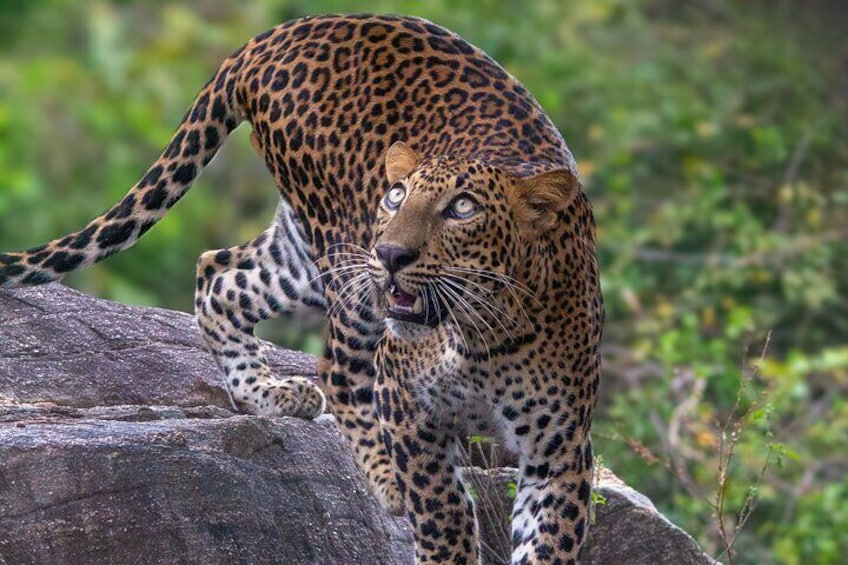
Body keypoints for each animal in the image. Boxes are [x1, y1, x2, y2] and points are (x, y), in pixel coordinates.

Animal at [0, 14, 603, 564]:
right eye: (397, 196)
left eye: (463, 208)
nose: (392, 254)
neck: (482, 334)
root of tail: (282, 31)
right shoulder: (408, 408)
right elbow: (442, 513)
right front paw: (431, 523)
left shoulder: (560, 451)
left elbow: (547, 541)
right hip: (343, 257)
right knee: (334, 367)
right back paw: (380, 477)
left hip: (304, 258)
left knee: (218, 275)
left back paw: (266, 394)